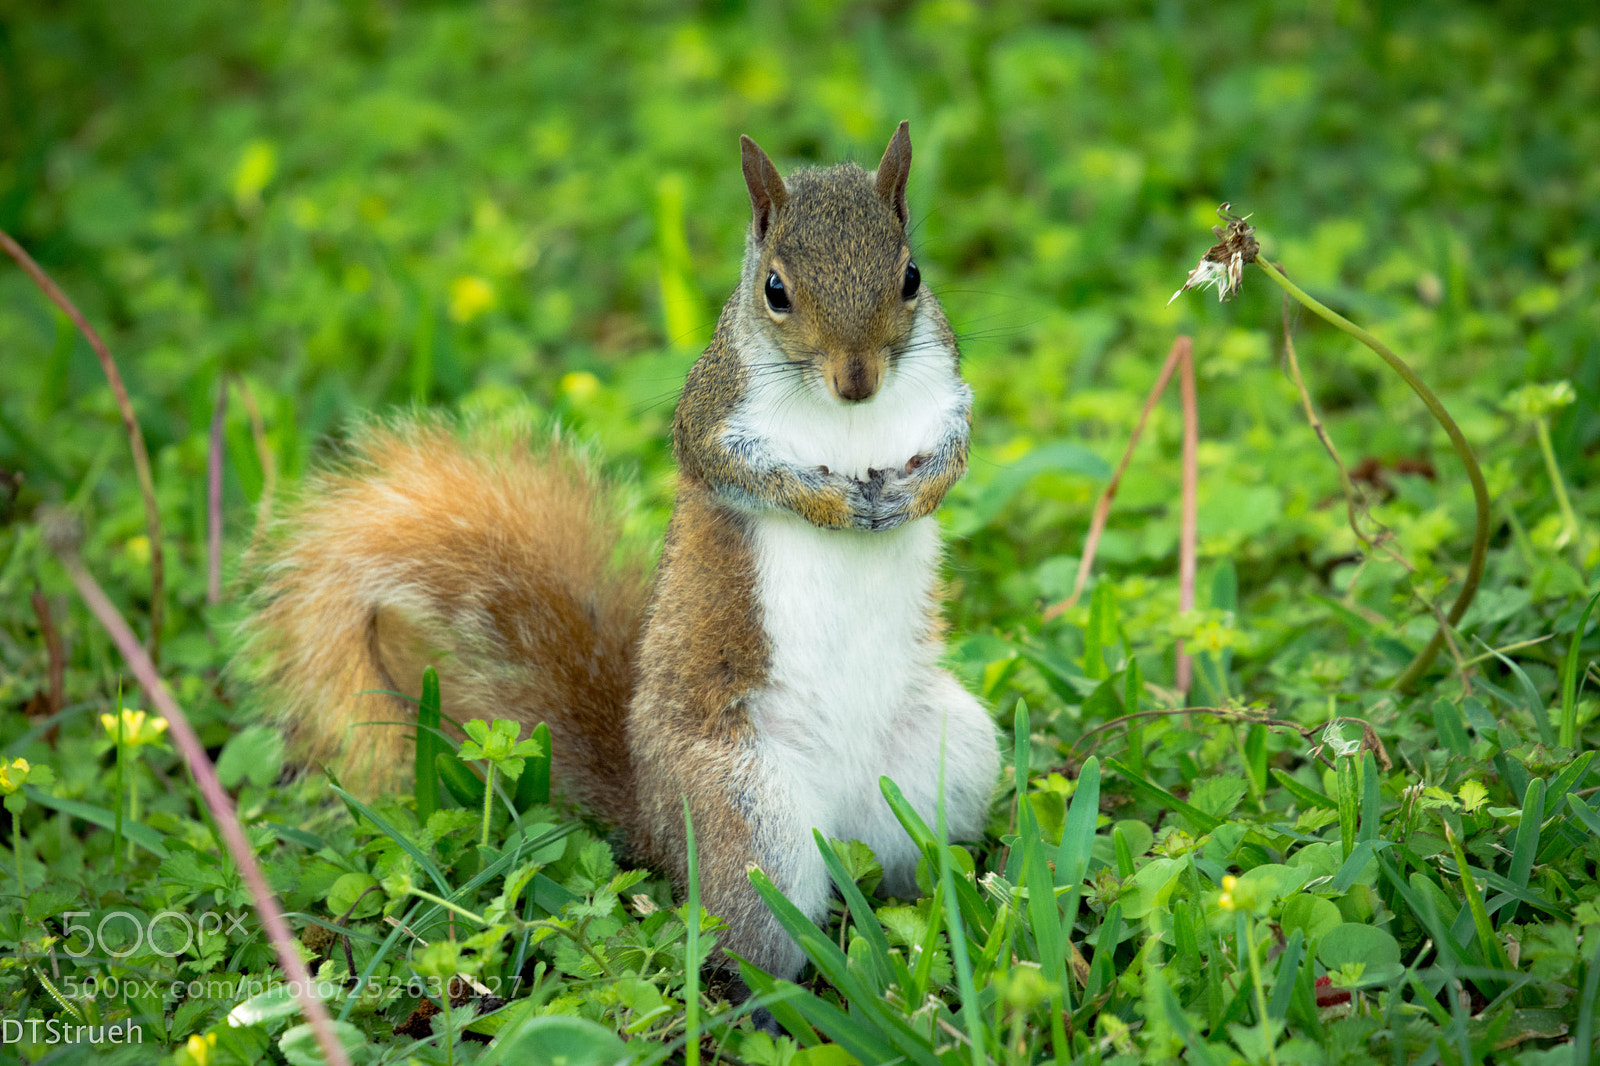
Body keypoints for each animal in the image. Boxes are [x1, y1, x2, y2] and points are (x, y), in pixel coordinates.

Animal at [235, 122, 999, 997]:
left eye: (911, 276)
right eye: (774, 290)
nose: (857, 379)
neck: (851, 423)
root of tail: (659, 823)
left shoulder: (946, 392)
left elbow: (955, 453)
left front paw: (914, 494)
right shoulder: (711, 419)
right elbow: (744, 471)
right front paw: (832, 504)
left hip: (955, 756)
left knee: (911, 867)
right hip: (745, 812)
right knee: (760, 938)